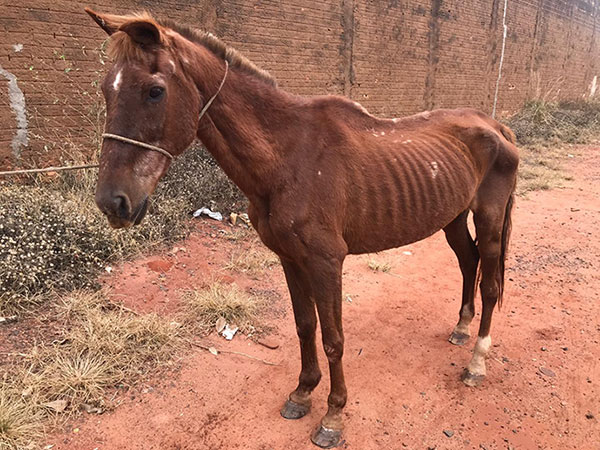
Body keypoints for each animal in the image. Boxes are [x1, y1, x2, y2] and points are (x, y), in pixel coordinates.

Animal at [85, 8, 520, 448]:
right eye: (106, 89)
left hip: (490, 219)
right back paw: (461, 328)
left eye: (155, 91)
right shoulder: (290, 258)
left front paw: (334, 415)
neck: (287, 158)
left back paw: (476, 363)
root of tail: (496, 126)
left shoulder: (327, 262)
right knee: (468, 263)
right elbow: (305, 326)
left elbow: (333, 339)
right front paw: (302, 392)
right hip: (453, 218)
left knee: (490, 284)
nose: (112, 202)